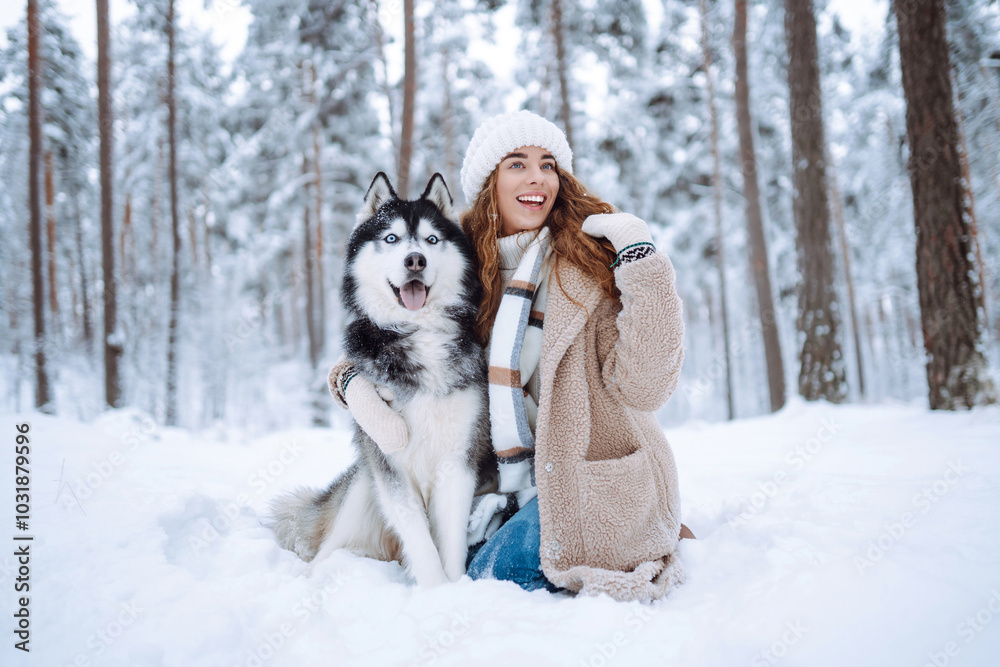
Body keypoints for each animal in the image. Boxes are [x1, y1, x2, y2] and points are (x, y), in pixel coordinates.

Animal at [272, 172, 494, 584]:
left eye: (431, 240)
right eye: (391, 238)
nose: (415, 260)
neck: (419, 333)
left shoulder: (457, 461)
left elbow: (451, 540)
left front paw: (455, 588)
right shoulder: (389, 463)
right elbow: (420, 539)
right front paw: (435, 589)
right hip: (362, 490)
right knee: (325, 553)